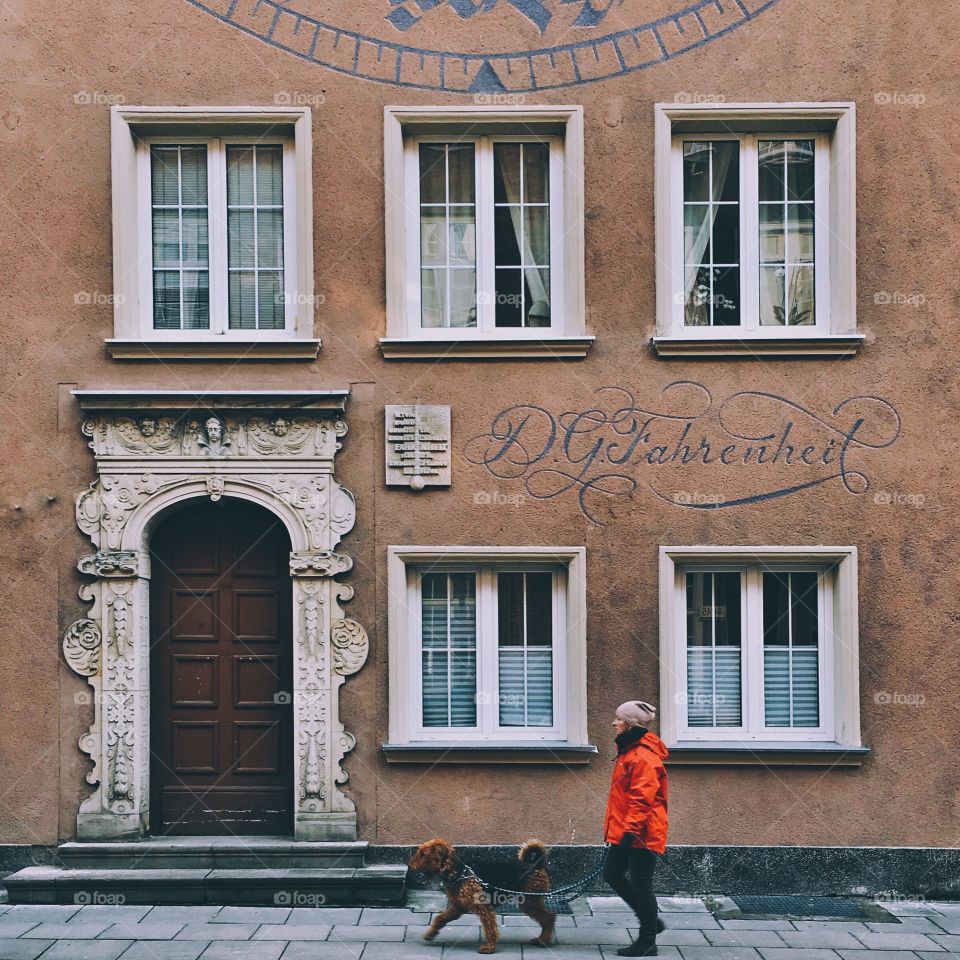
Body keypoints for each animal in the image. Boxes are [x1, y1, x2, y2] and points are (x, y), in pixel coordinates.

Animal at [408, 840, 560, 952]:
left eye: (423, 853)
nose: (410, 865)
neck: (458, 871)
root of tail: (535, 864)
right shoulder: (458, 907)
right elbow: (440, 919)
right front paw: (430, 934)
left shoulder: (483, 907)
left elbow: (490, 927)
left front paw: (489, 947)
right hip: (530, 902)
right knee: (548, 918)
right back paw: (542, 940)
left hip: (529, 901)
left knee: (549, 917)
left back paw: (543, 940)